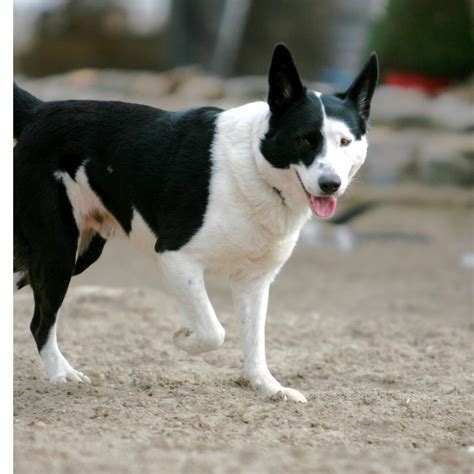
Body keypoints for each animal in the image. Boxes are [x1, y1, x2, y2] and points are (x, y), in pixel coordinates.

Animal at [12, 44, 380, 402]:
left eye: (345, 141)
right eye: (305, 139)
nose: (331, 184)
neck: (254, 166)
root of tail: (41, 112)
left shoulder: (254, 281)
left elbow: (254, 342)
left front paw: (269, 388)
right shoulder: (177, 257)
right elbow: (213, 331)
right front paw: (182, 337)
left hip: (75, 253)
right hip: (59, 251)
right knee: (40, 324)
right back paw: (62, 373)